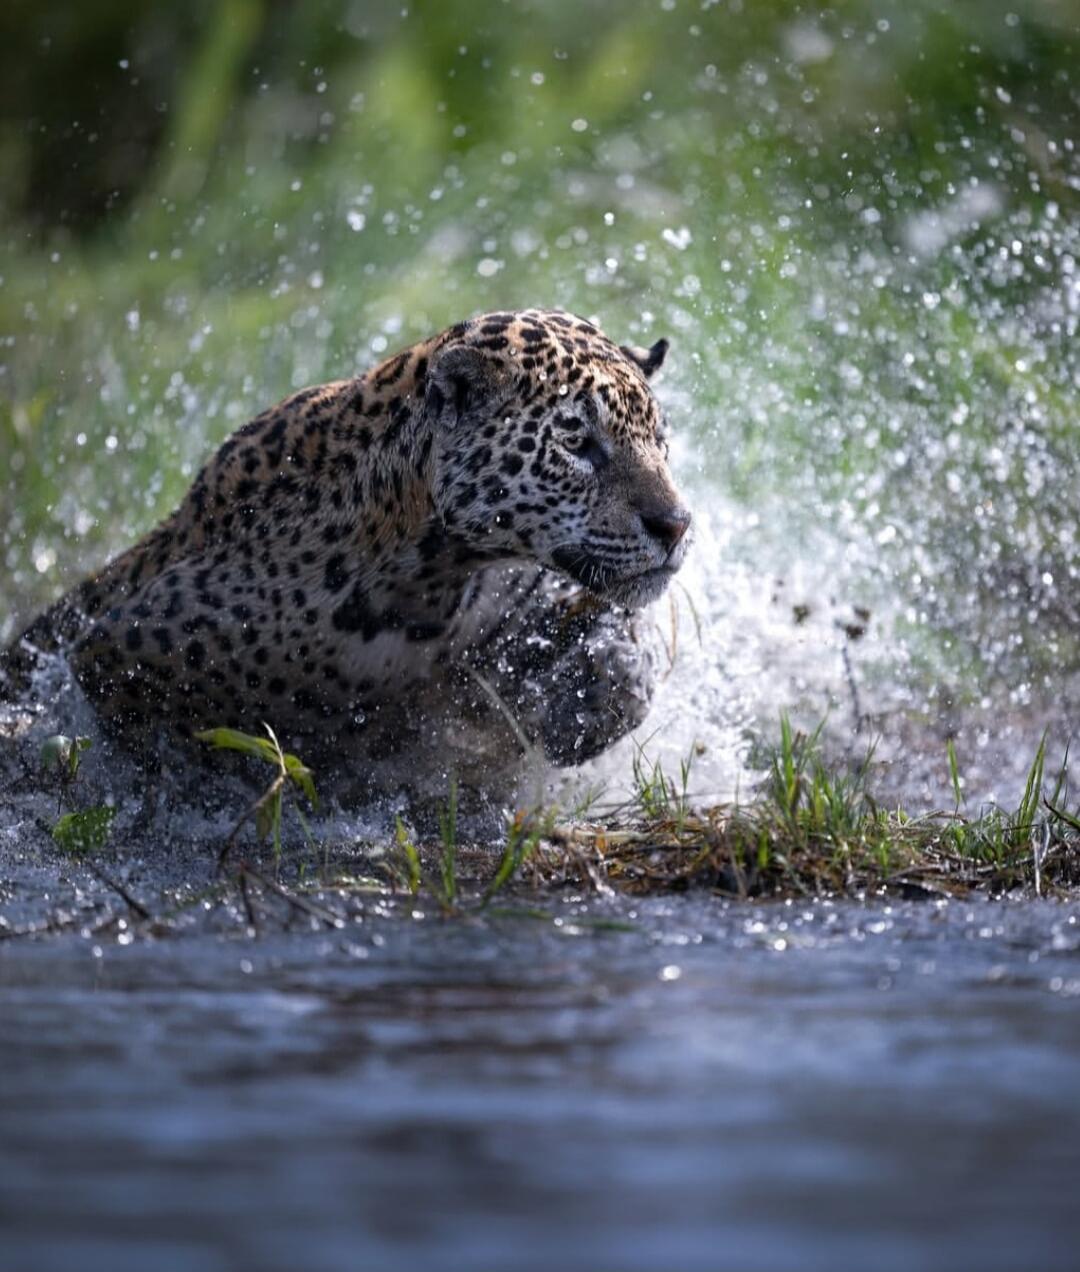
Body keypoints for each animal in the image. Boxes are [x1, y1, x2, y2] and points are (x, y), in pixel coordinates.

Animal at [2, 308, 692, 802]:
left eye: (660, 440)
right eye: (576, 443)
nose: (677, 525)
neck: (427, 580)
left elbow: (616, 643)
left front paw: (584, 702)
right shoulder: (114, 652)